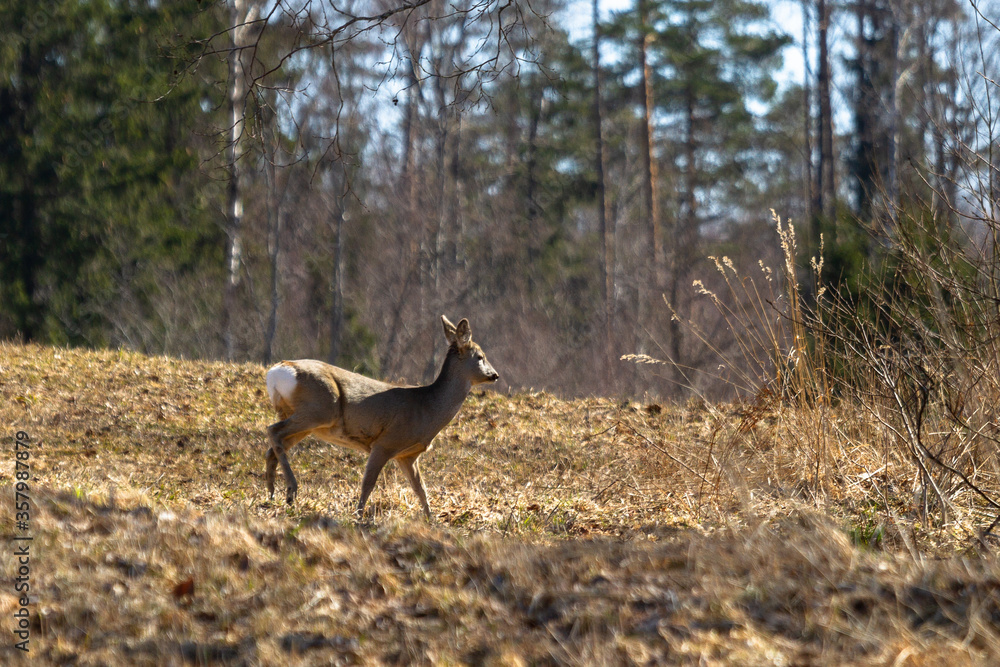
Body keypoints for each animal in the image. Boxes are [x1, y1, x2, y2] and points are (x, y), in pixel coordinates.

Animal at [264, 315, 499, 520]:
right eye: (480, 357)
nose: (495, 375)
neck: (427, 409)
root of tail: (277, 370)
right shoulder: (385, 442)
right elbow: (368, 483)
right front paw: (358, 517)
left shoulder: (407, 455)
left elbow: (420, 488)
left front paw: (431, 520)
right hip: (318, 410)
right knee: (272, 430)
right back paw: (291, 490)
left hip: (306, 420)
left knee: (273, 447)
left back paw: (272, 494)